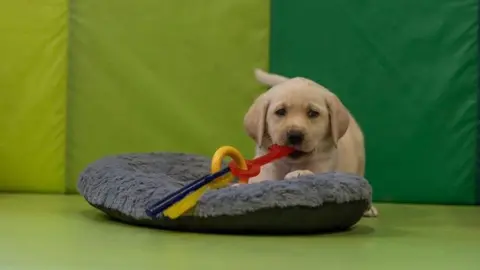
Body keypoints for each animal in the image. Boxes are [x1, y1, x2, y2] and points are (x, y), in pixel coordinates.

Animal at [246, 69, 380, 217]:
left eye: (313, 113)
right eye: (280, 112)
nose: (295, 135)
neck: (292, 163)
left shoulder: (324, 165)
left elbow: (313, 174)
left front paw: (299, 173)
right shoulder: (266, 164)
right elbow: (261, 179)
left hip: (360, 161)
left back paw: (369, 209)